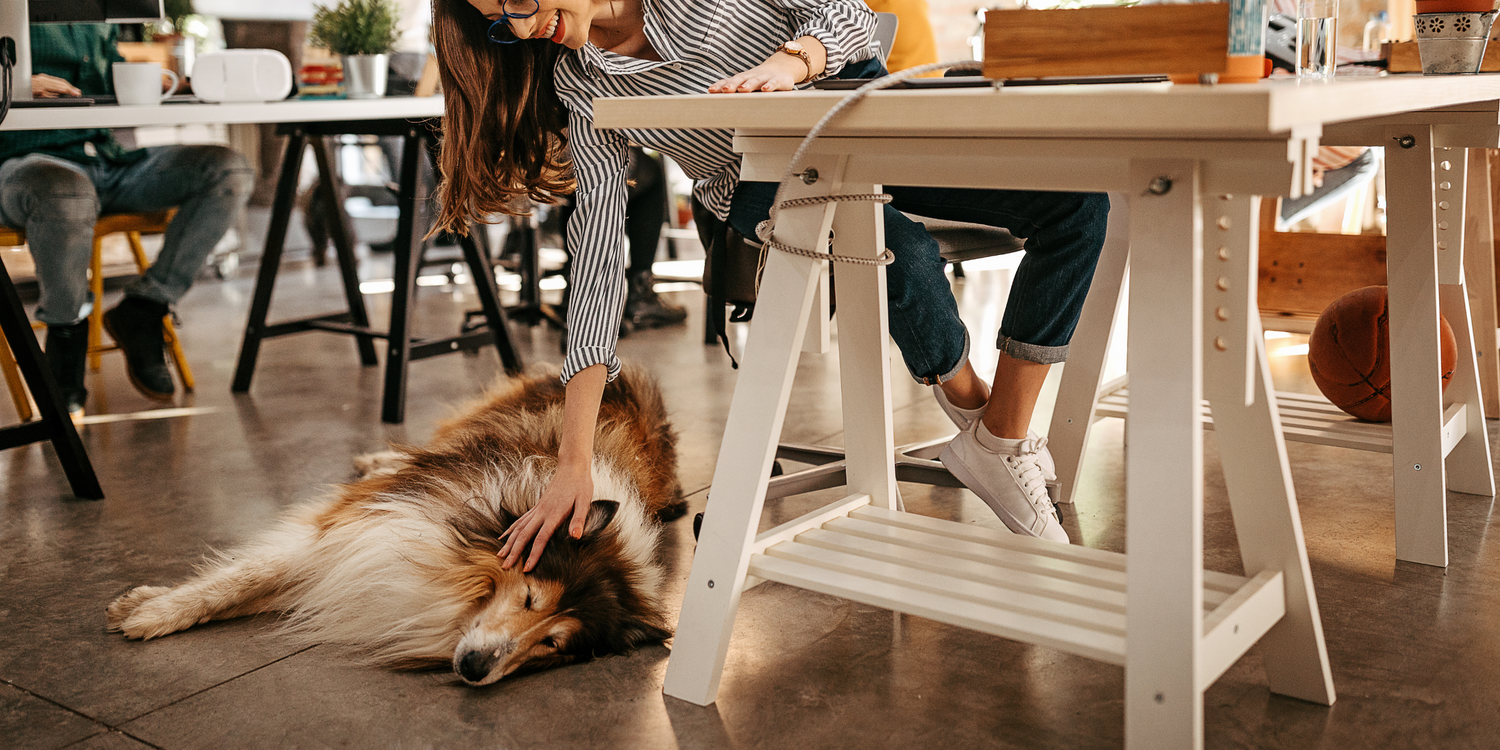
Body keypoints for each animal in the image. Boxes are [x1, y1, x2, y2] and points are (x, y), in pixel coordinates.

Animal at [104, 367, 687, 687]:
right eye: (528, 599)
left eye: (553, 646)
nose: (476, 668)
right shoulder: (355, 526)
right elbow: (236, 581)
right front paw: (150, 612)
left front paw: (146, 607)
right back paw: (378, 458)